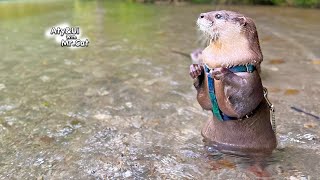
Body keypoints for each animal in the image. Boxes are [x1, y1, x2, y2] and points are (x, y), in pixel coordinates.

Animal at [190, 10, 278, 155]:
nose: (201, 15)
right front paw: (196, 69)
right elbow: (204, 101)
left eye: (218, 15)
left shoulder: (251, 79)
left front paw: (222, 72)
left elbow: (245, 103)